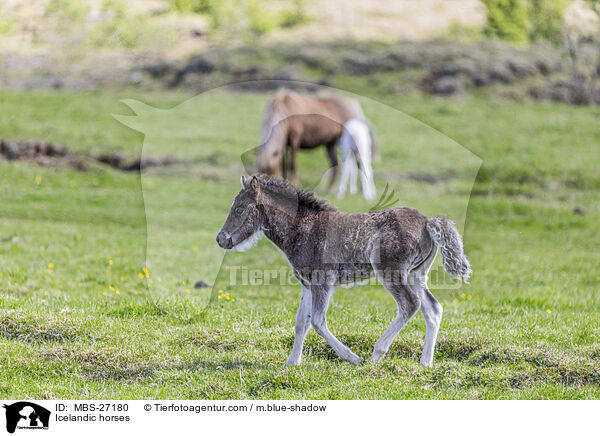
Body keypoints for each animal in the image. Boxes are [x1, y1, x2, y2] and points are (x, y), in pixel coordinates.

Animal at [217, 175, 474, 366]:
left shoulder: (322, 281)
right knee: (433, 308)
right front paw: (291, 363)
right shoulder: (307, 283)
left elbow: (317, 322)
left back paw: (376, 354)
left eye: (239, 209)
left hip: (390, 272)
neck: (304, 228)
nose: (221, 238)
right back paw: (425, 362)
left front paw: (352, 357)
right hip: (416, 274)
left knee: (410, 304)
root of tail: (428, 223)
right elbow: (301, 322)